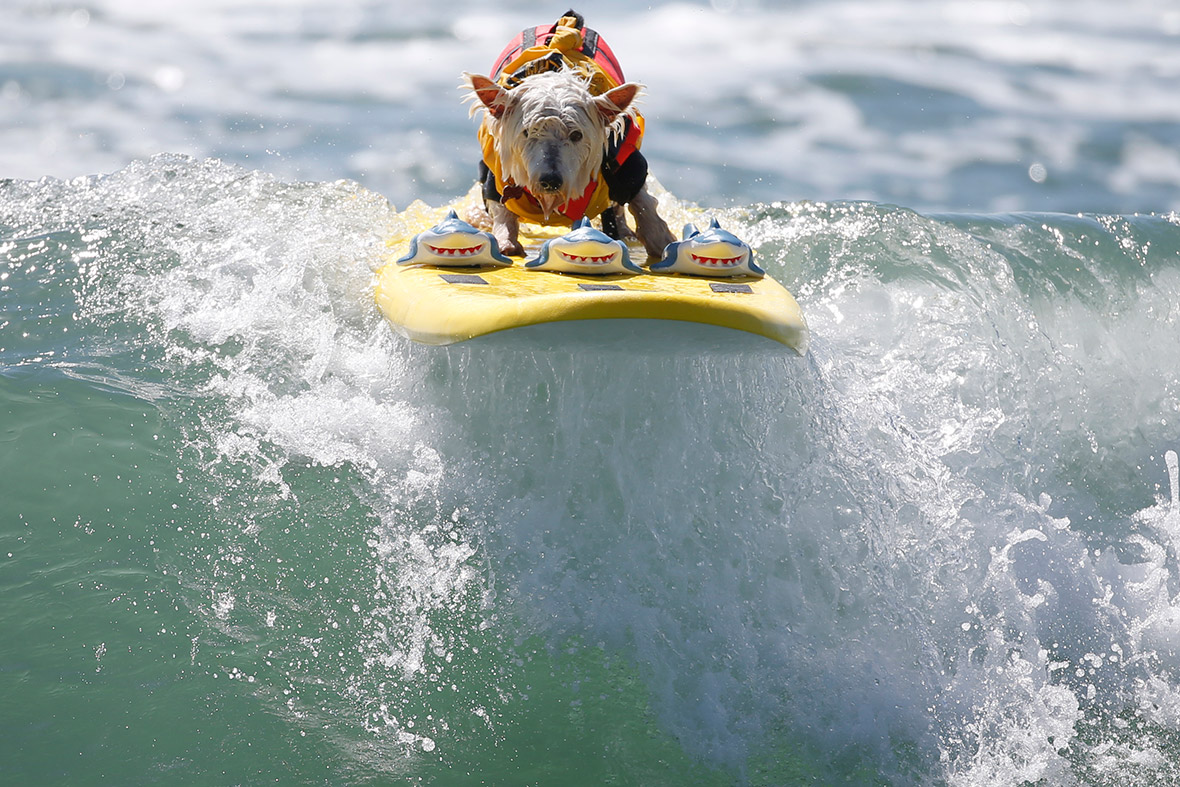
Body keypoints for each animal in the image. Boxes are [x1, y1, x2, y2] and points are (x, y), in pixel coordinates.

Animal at [464, 10, 679, 258]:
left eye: (577, 135)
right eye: (526, 132)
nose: (550, 181)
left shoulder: (626, 164)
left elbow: (640, 198)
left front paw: (660, 239)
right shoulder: (495, 172)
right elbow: (500, 203)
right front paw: (506, 239)